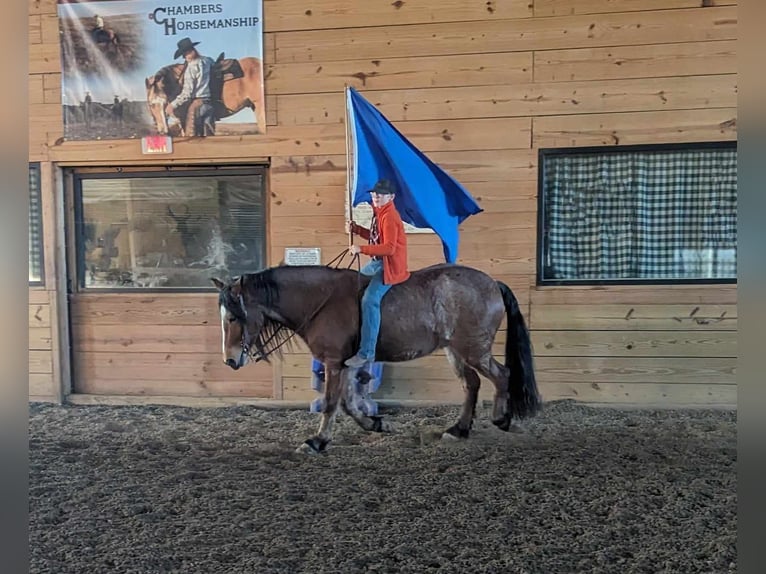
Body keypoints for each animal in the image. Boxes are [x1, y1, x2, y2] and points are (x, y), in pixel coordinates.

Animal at [213, 264, 544, 456]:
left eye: (233, 316)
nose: (229, 360)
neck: (322, 300)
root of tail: (492, 283)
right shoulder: (345, 364)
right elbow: (347, 404)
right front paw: (376, 424)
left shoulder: (333, 361)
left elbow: (331, 403)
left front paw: (317, 442)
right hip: (456, 350)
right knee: (471, 384)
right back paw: (459, 430)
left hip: (474, 348)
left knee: (502, 375)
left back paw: (501, 419)